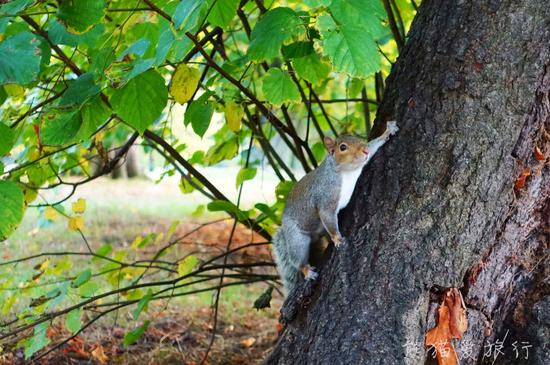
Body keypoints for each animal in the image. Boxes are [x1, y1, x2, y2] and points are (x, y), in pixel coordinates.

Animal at [274, 121, 402, 294]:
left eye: (358, 139)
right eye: (343, 147)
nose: (365, 150)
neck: (346, 172)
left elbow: (374, 146)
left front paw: (386, 132)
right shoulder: (325, 197)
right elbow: (327, 215)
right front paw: (337, 238)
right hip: (297, 239)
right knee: (297, 260)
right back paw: (307, 271)